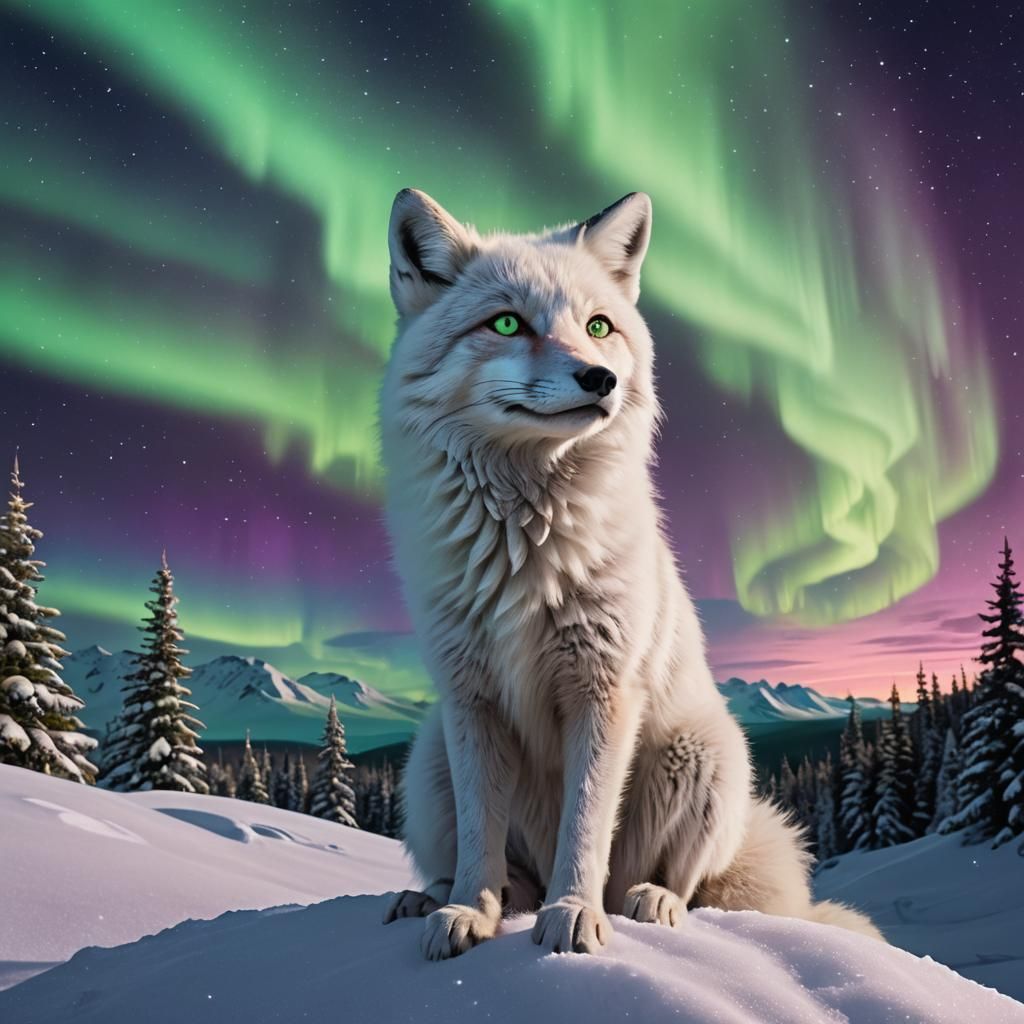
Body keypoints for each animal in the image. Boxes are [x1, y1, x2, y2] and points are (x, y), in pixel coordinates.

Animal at [378, 188, 884, 960]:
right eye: (506, 322)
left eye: (598, 326)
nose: (601, 378)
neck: (524, 543)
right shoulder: (470, 700)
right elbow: (477, 840)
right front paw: (470, 911)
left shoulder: (604, 689)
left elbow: (586, 825)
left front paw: (573, 916)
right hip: (428, 761)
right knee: (486, 862)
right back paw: (449, 897)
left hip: (705, 753)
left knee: (681, 882)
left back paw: (646, 902)